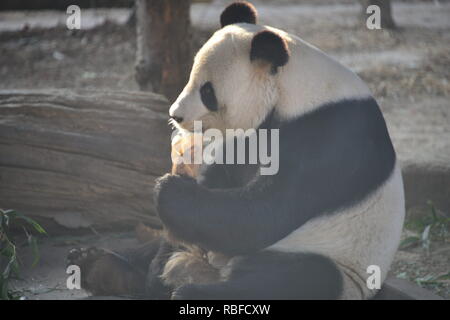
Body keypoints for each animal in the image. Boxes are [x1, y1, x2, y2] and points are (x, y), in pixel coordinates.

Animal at [68, 1, 406, 298]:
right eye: (190, 76)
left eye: (207, 92)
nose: (176, 115)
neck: (295, 92)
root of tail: (219, 271)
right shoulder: (250, 136)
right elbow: (218, 189)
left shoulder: (329, 136)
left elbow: (267, 211)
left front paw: (168, 189)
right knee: (151, 247)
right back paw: (98, 265)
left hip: (337, 261)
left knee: (298, 277)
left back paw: (192, 291)